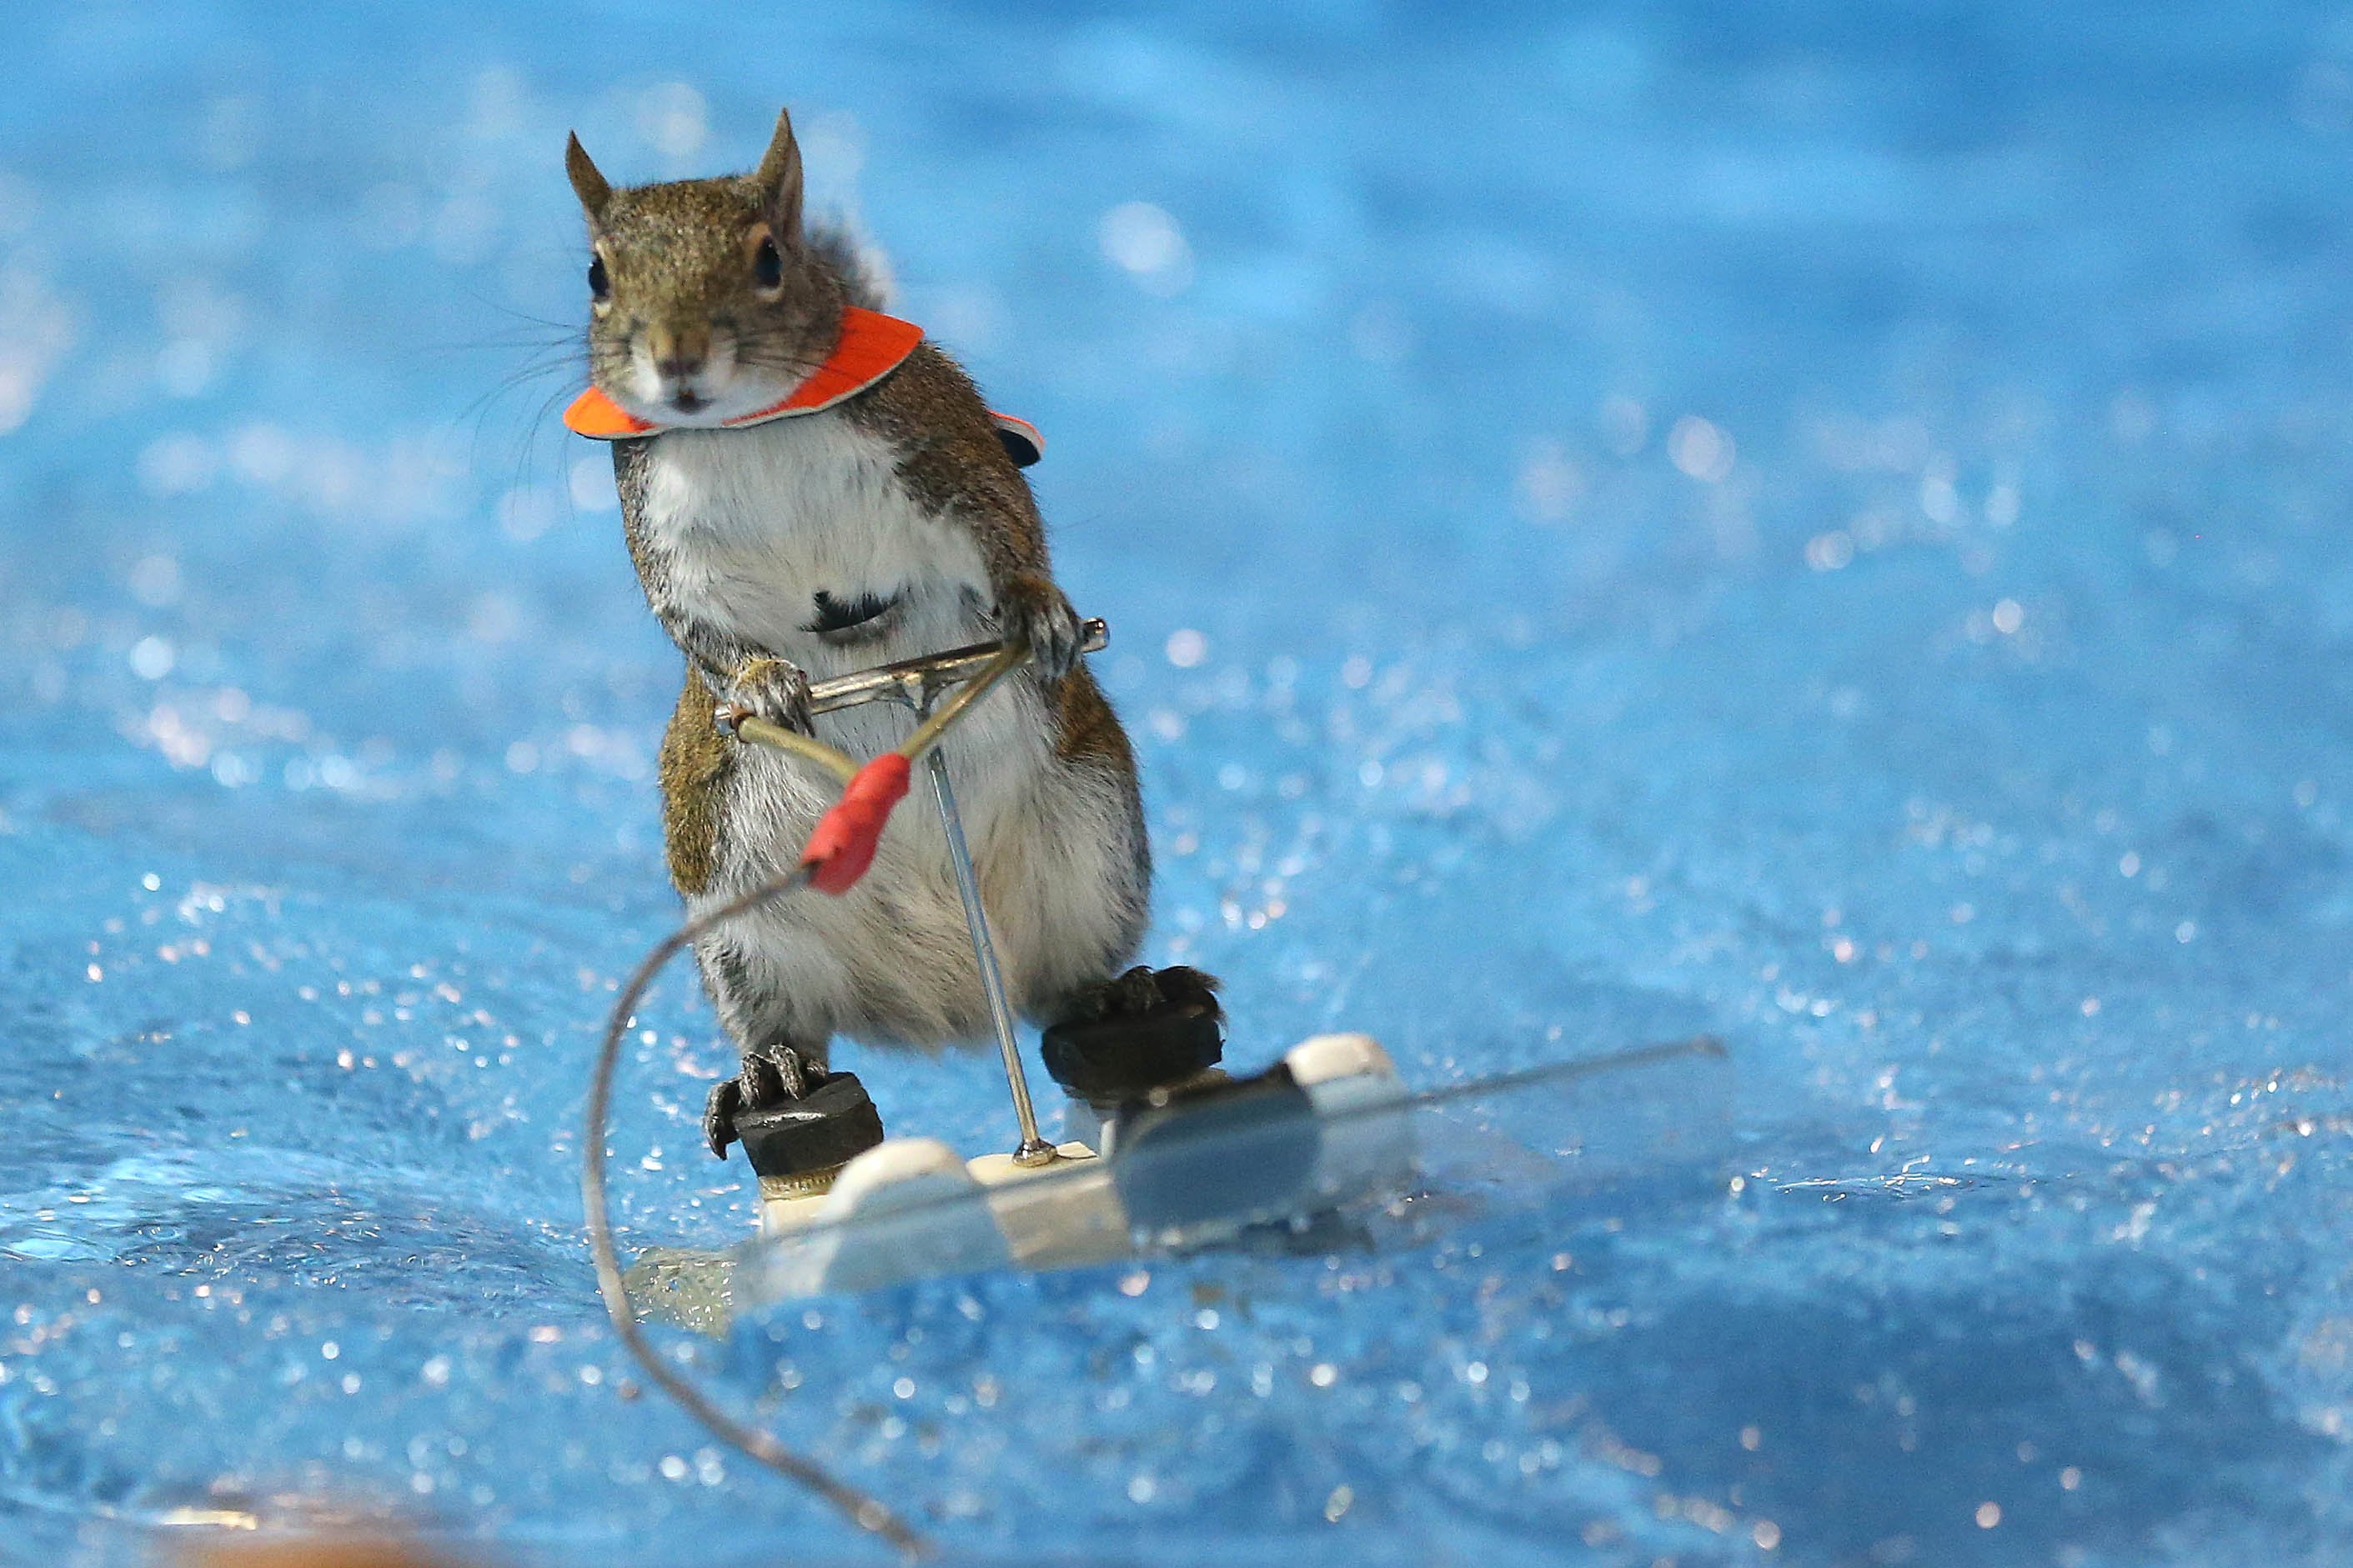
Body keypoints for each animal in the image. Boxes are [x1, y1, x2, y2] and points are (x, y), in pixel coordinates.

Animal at [564, 108, 1218, 1161]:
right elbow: (696, 628)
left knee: (1059, 992)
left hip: (1092, 845)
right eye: (596, 275)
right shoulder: (659, 527)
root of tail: (951, 1004)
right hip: (740, 919)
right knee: (791, 1025)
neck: (750, 426)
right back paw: (769, 1073)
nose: (679, 361)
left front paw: (1036, 612)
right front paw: (764, 682)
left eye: (770, 259)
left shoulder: (939, 439)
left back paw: (1123, 998)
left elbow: (1011, 527)